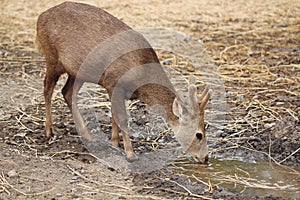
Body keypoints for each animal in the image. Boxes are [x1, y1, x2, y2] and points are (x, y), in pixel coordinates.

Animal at [35, 1, 211, 163]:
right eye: (199, 134)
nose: (206, 157)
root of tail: (40, 16)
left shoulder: (114, 88)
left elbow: (114, 115)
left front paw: (115, 143)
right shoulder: (115, 83)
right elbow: (122, 118)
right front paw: (130, 153)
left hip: (78, 71)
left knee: (67, 92)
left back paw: (87, 135)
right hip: (52, 58)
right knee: (47, 88)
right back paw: (49, 130)